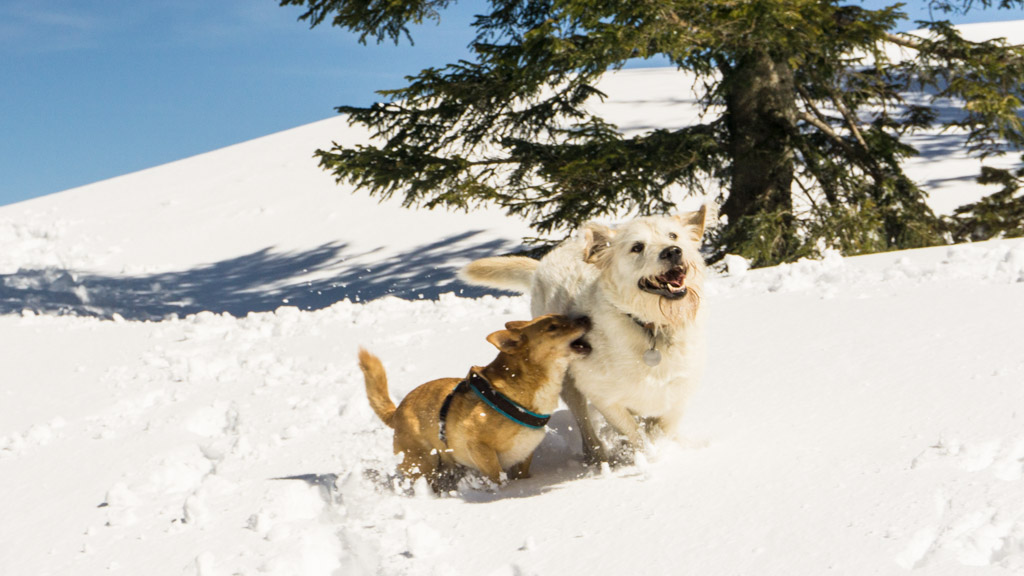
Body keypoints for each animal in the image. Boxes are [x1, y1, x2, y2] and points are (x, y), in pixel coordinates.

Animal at [360, 311, 589, 491]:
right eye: (552, 327)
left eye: (563, 315)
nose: (585, 318)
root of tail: (396, 411)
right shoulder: (479, 446)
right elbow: (497, 478)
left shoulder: (525, 453)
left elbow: (521, 474)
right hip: (423, 461)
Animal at [460, 206, 708, 461]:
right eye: (637, 247)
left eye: (673, 236)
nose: (673, 251)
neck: (650, 328)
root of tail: (543, 264)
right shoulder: (604, 396)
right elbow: (634, 432)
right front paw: (647, 456)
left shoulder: (678, 391)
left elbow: (663, 427)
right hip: (569, 384)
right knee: (587, 429)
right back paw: (598, 457)